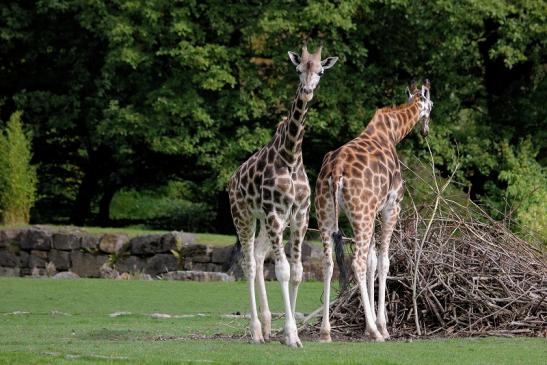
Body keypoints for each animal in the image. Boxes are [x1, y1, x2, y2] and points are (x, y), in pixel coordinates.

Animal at [228, 44, 338, 346]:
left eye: (320, 71)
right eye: (299, 69)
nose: (307, 89)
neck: (290, 157)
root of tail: (232, 180)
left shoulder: (299, 214)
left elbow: (298, 271)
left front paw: (289, 332)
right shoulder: (274, 213)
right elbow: (283, 271)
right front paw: (290, 336)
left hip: (266, 221)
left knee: (257, 255)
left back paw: (266, 326)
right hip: (243, 215)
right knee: (249, 263)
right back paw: (255, 331)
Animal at [314, 79, 434, 342]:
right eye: (432, 104)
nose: (426, 130)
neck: (392, 132)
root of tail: (336, 171)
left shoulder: (374, 211)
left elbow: (372, 261)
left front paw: (372, 325)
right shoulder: (391, 206)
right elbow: (383, 261)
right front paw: (382, 326)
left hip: (328, 213)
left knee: (328, 262)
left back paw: (326, 331)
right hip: (362, 214)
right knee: (356, 262)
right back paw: (374, 331)